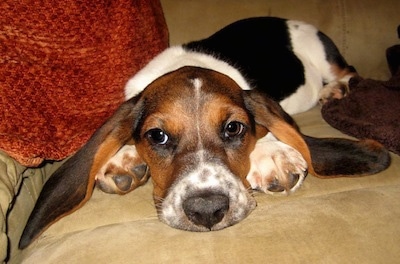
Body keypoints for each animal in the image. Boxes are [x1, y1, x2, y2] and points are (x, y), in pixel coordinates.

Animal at [18, 17, 390, 249]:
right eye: (157, 136)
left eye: (234, 128)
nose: (207, 210)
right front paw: (122, 158)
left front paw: (272, 156)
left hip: (322, 52)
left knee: (349, 71)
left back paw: (335, 90)